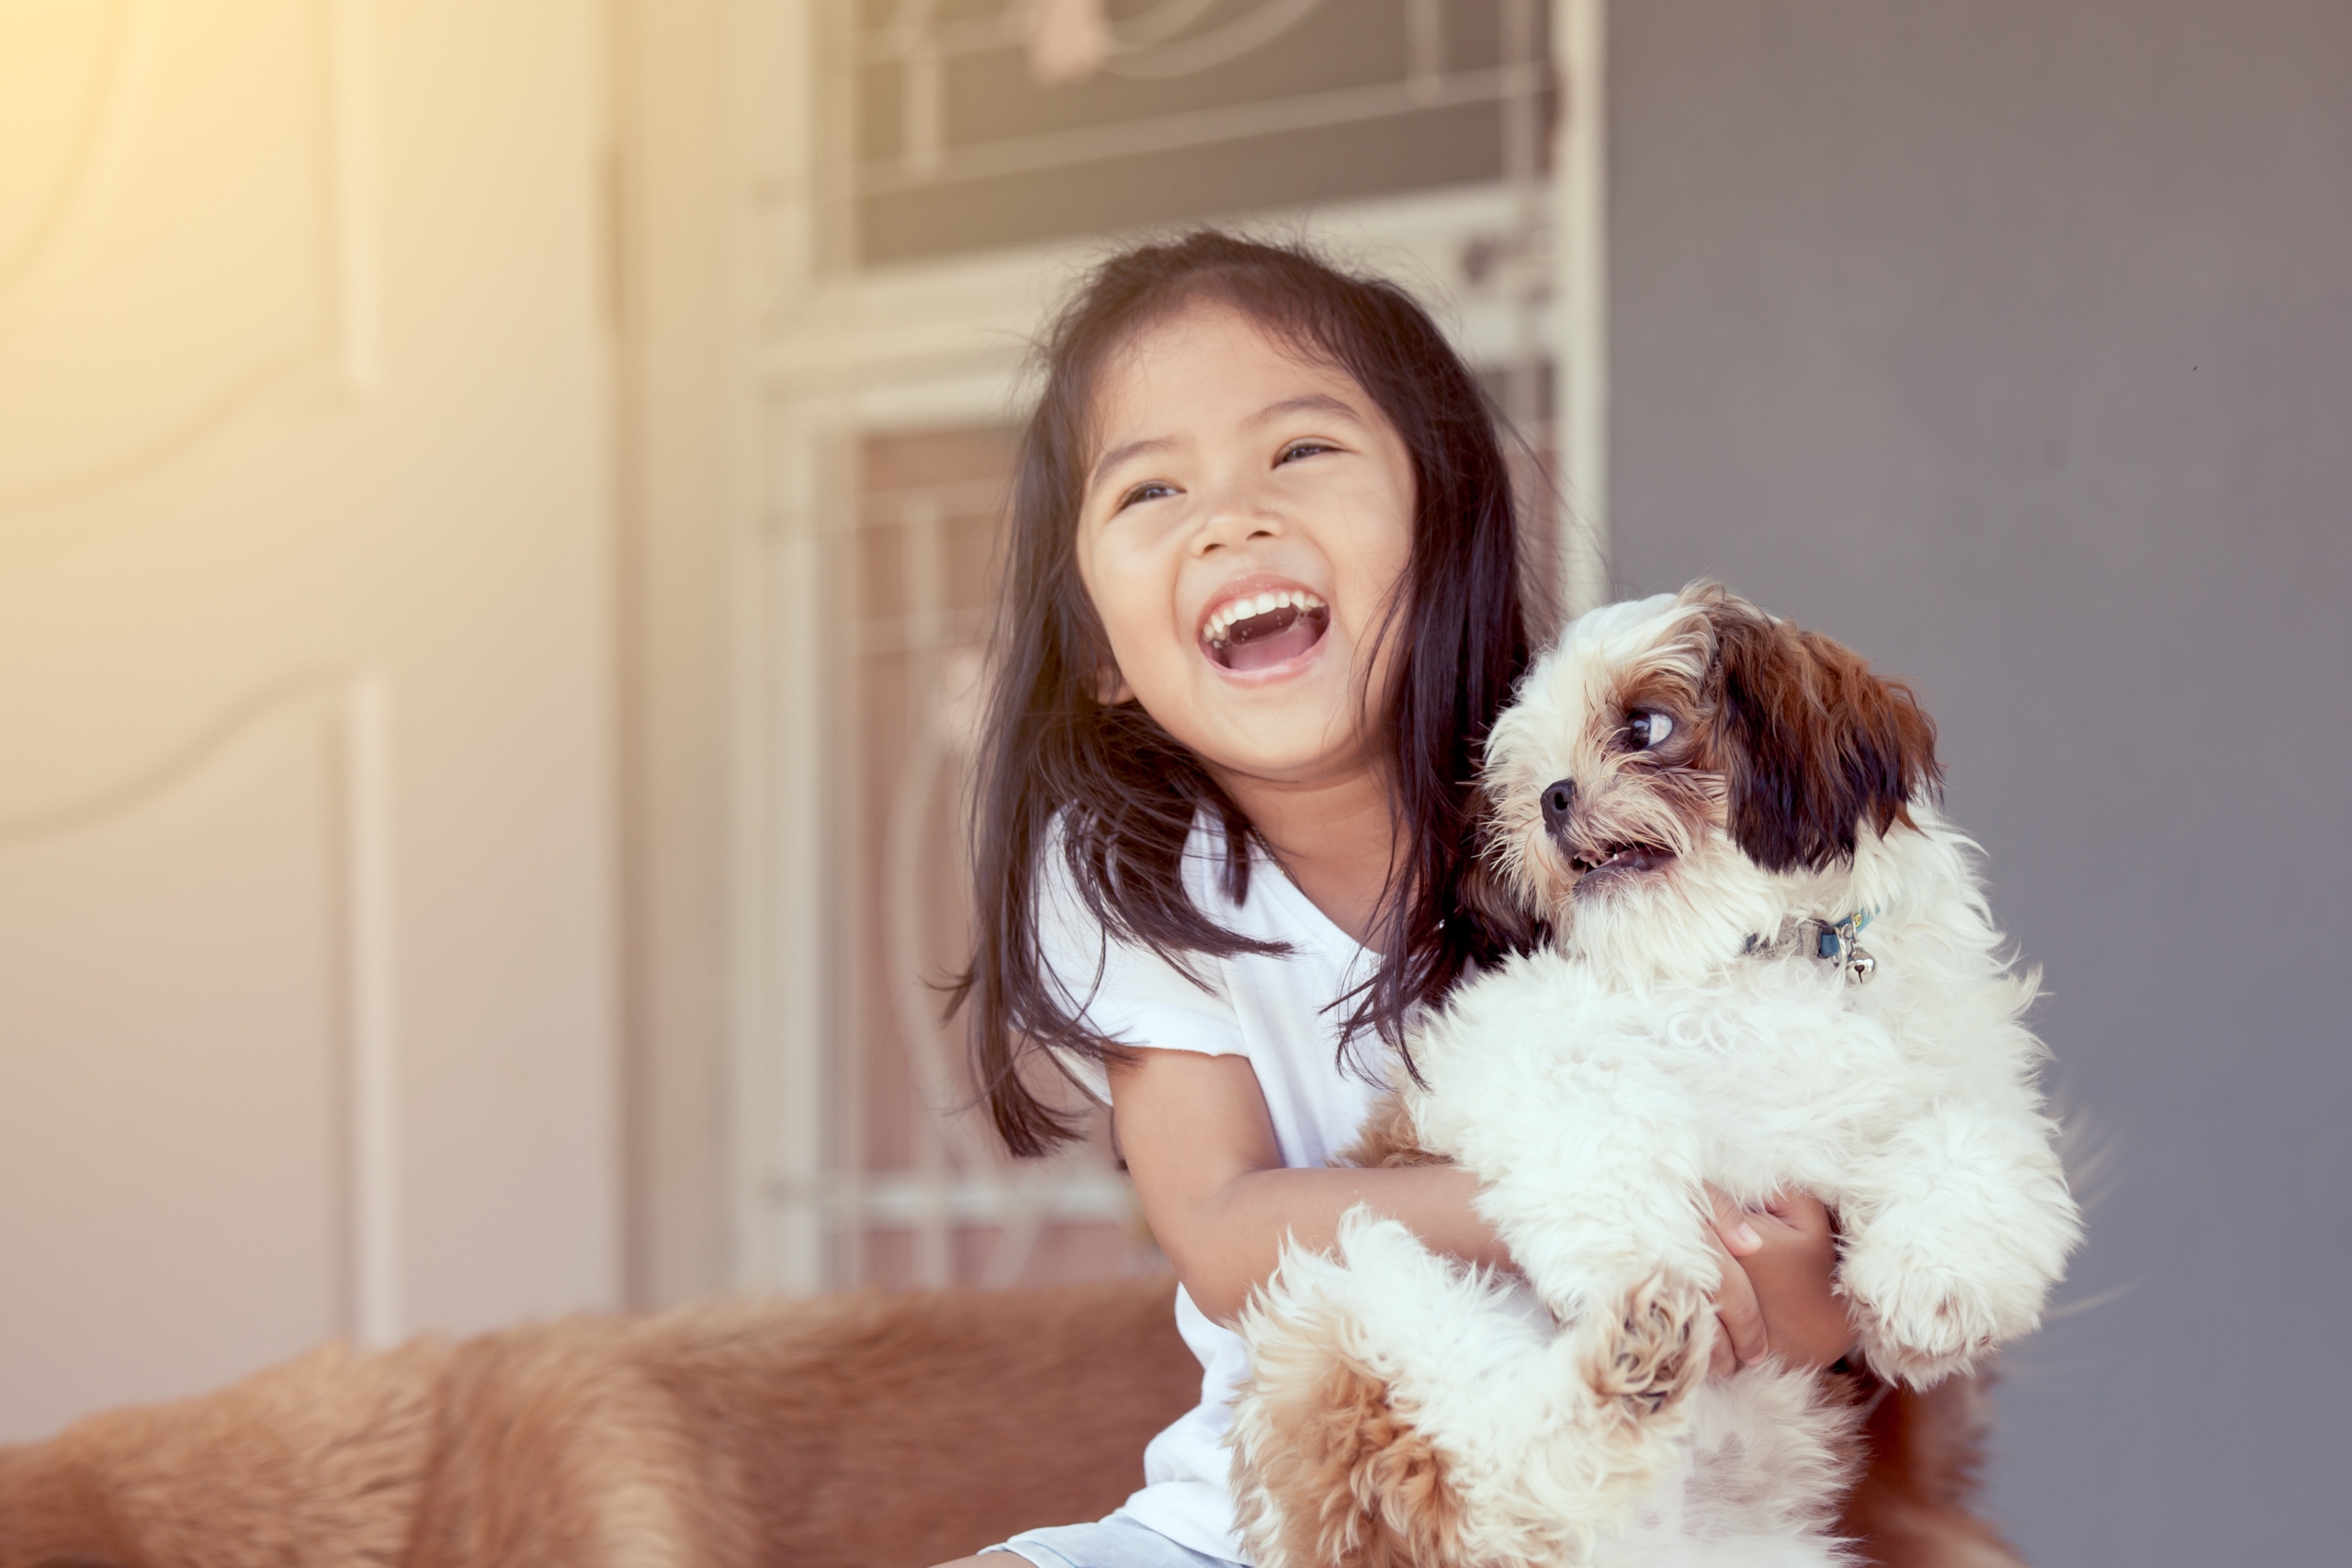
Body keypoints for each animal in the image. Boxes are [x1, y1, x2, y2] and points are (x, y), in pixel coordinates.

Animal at [1232, 585, 2079, 1568]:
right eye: (1526, 774)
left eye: (1644, 726)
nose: (1552, 795)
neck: (1757, 956)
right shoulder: (1505, 1042)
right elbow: (1595, 1112)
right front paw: (1640, 1255)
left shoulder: (1964, 1077)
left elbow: (1972, 1138)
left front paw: (1937, 1286)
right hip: (1353, 1298)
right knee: (1492, 1476)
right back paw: (1634, 1349)